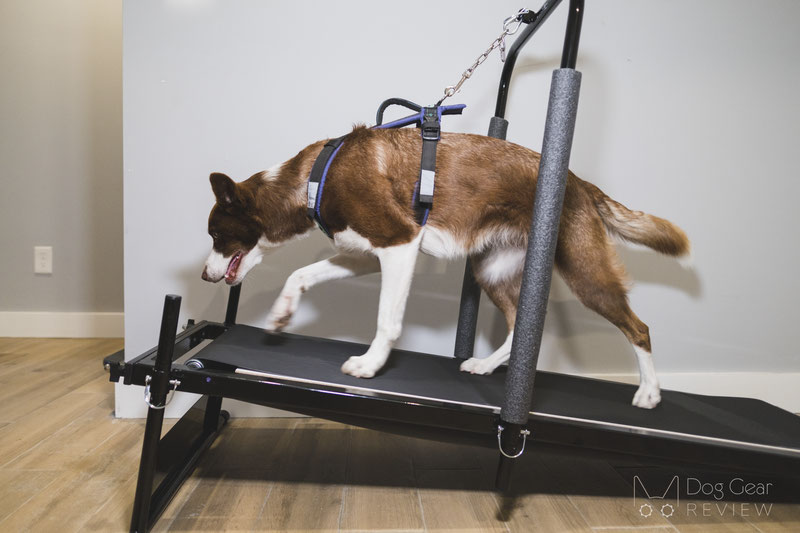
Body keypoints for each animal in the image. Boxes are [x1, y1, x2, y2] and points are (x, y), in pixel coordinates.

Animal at [200, 124, 688, 408]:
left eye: (216, 235)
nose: (204, 275)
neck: (315, 178)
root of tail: (579, 182)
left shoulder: (399, 243)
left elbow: (387, 319)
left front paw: (370, 365)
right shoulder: (366, 255)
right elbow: (299, 274)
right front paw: (282, 314)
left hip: (585, 273)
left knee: (638, 328)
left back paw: (650, 392)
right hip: (492, 271)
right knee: (519, 324)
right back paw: (487, 366)